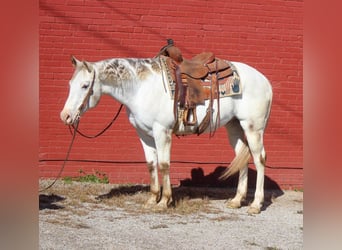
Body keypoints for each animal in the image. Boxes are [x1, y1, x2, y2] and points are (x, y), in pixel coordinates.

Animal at [59, 53, 272, 214]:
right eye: (69, 84)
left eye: (85, 85)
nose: (66, 116)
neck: (141, 88)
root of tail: (265, 82)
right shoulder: (144, 134)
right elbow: (151, 164)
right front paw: (152, 199)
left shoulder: (162, 131)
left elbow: (163, 164)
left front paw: (164, 202)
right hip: (234, 126)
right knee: (242, 157)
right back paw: (236, 200)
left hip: (253, 128)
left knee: (259, 158)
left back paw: (255, 204)